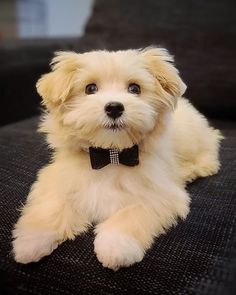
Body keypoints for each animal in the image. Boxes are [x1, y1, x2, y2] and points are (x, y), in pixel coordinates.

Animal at [12, 47, 222, 272]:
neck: (111, 154)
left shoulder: (159, 194)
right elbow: (50, 208)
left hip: (195, 140)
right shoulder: (60, 181)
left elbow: (130, 215)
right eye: (90, 88)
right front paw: (30, 241)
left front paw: (115, 247)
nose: (114, 107)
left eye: (134, 88)